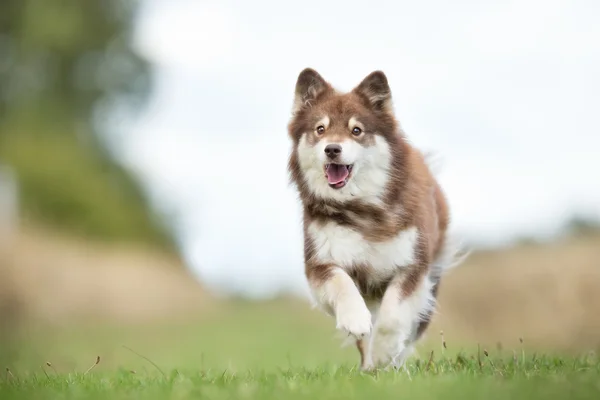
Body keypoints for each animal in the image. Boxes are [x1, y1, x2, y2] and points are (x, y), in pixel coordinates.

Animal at [288, 69, 466, 372]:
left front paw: (385, 352)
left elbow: (393, 316)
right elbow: (342, 286)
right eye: (320, 129)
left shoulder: (411, 266)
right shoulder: (321, 263)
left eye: (356, 130)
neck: (362, 209)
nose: (332, 149)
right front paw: (355, 319)